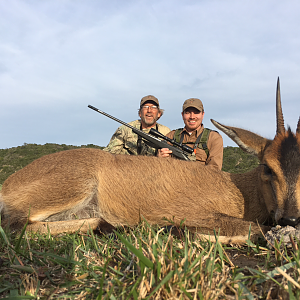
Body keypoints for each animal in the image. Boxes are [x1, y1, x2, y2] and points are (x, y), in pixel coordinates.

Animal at [0, 78, 298, 243]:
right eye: (267, 167)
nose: (292, 218)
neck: (238, 190)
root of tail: (8, 183)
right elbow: (255, 228)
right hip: (75, 187)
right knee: (16, 226)